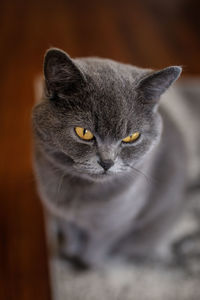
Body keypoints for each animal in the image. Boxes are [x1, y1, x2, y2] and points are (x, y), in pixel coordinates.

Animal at [32, 48, 187, 268]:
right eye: (84, 132)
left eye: (131, 137)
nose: (107, 162)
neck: (79, 195)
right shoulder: (58, 211)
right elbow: (70, 235)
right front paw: (67, 252)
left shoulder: (115, 223)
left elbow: (96, 247)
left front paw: (86, 265)